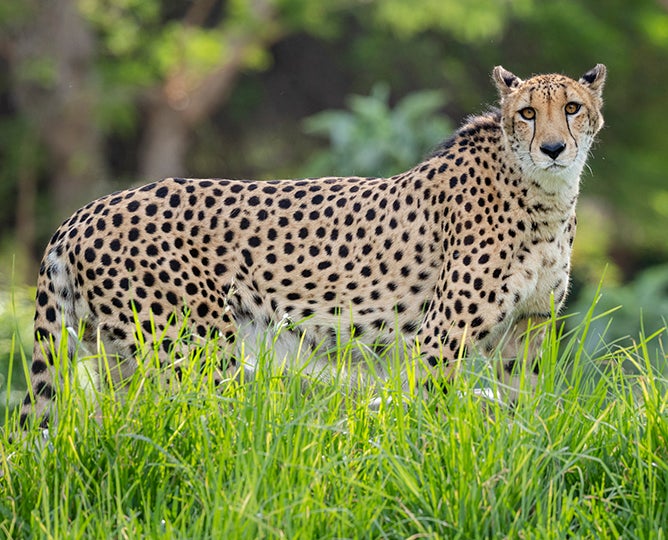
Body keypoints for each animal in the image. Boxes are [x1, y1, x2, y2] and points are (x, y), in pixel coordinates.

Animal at [20, 64, 606, 428]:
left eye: (573, 107)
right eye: (527, 113)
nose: (554, 148)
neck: (544, 196)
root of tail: (83, 213)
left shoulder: (528, 329)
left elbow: (524, 412)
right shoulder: (439, 339)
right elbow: (430, 418)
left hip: (123, 359)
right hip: (196, 350)